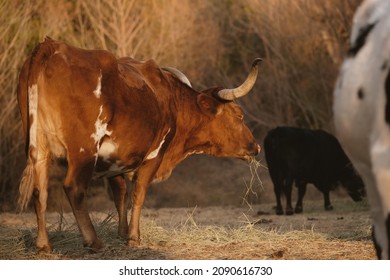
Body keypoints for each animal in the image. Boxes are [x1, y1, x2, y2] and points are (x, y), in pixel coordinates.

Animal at [16, 37, 260, 254]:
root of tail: (51, 46)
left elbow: (120, 194)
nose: (255, 147)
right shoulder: (154, 156)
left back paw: (44, 245)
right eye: (239, 115)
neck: (172, 101)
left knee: (39, 191)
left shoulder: (114, 160)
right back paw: (93, 241)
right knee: (74, 188)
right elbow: (139, 193)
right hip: (83, 151)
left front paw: (122, 233)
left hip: (38, 147)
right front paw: (134, 237)